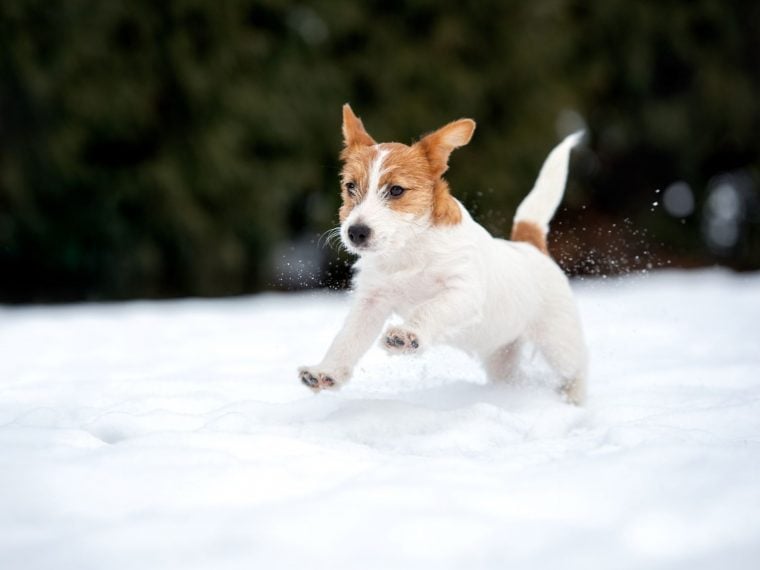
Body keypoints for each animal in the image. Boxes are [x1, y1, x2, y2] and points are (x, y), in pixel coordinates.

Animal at [296, 103, 588, 404]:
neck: (408, 249)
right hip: (502, 354)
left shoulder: (463, 291)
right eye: (350, 186)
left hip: (558, 342)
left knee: (577, 369)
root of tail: (530, 245)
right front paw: (325, 372)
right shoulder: (371, 301)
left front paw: (406, 335)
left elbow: (430, 308)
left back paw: (572, 398)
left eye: (396, 190)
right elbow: (347, 339)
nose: (356, 232)